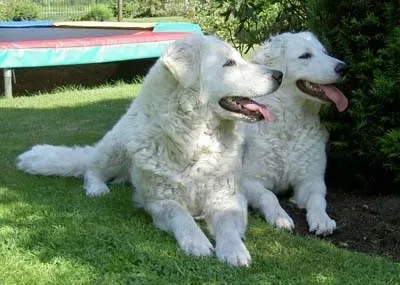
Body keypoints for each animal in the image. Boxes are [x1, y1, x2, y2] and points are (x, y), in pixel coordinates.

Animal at [17, 34, 282, 266]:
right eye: (229, 63)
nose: (279, 74)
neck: (195, 141)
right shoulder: (160, 201)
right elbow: (180, 214)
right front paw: (196, 242)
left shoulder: (228, 197)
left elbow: (227, 225)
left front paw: (234, 251)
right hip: (116, 149)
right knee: (92, 170)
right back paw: (97, 188)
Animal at [242, 31, 348, 235]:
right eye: (305, 56)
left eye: (324, 52)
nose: (343, 68)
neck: (290, 124)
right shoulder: (250, 180)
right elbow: (268, 196)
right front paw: (280, 217)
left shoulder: (311, 181)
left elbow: (318, 200)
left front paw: (322, 220)